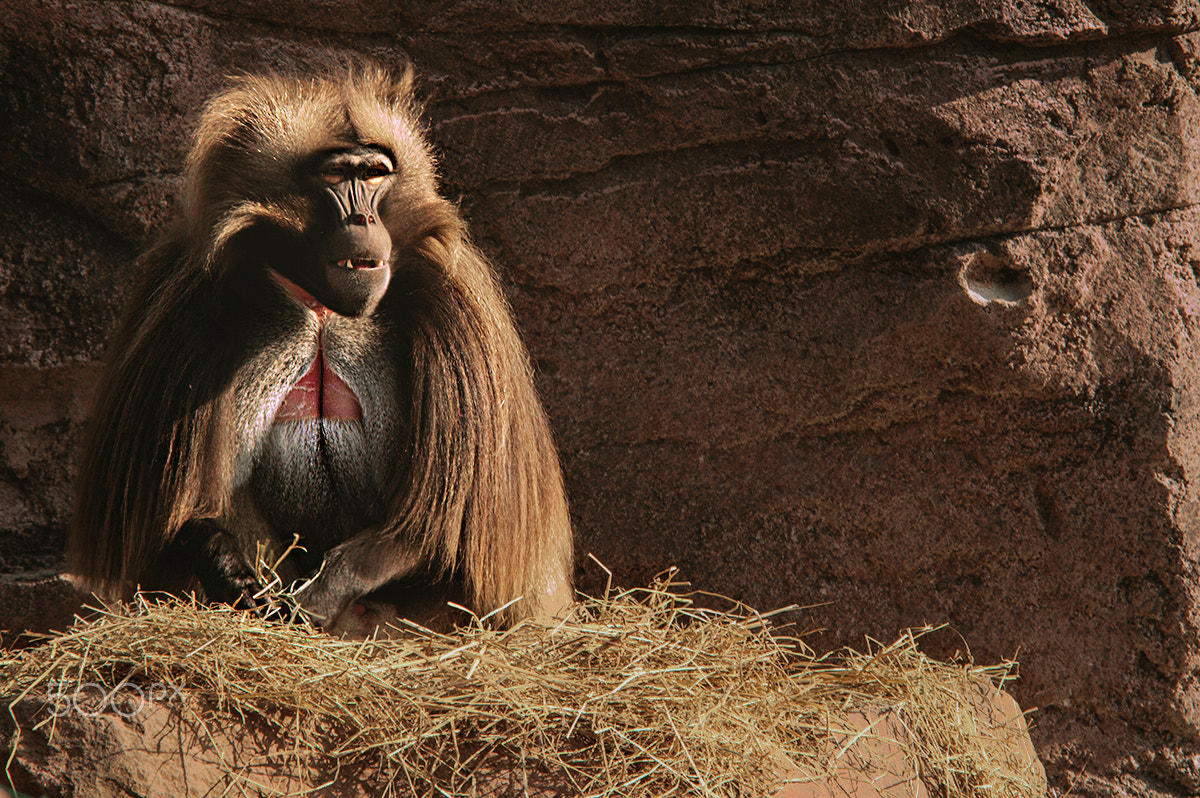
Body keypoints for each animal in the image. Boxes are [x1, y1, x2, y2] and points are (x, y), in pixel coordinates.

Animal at [68, 64, 574, 634]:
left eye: (374, 174)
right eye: (336, 176)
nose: (362, 222)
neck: (323, 309)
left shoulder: (461, 310)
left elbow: (445, 527)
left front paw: (319, 596)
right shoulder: (184, 299)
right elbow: (163, 525)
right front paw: (229, 570)